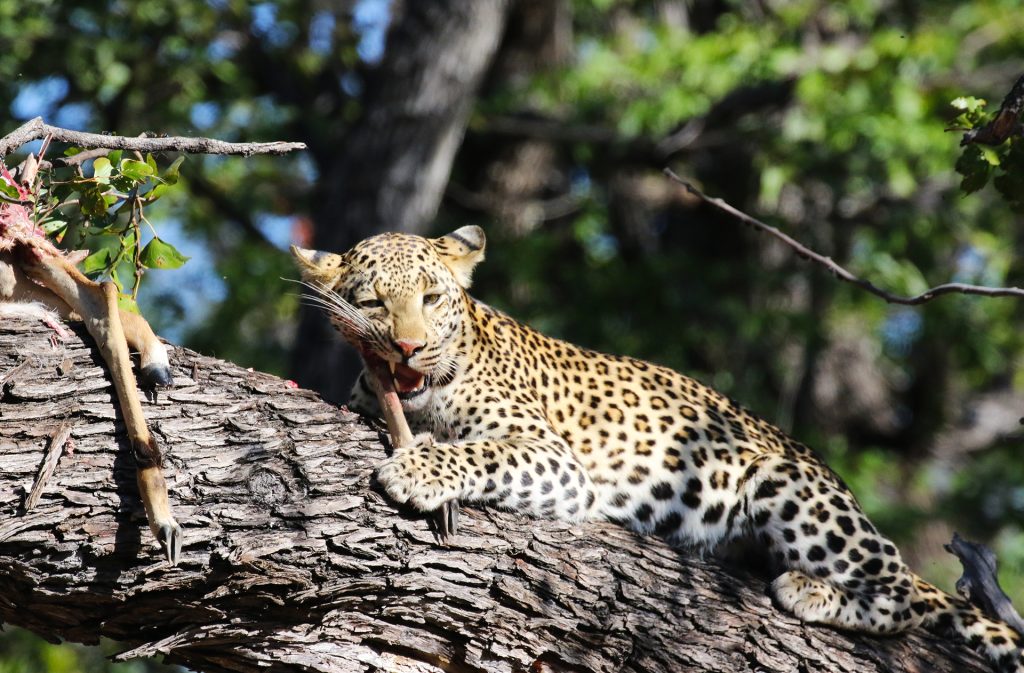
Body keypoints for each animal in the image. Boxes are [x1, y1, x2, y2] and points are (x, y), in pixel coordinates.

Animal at [292, 227, 1019, 671]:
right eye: (373, 303)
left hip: (788, 484)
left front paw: (418, 468)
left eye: (432, 296)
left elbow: (477, 451)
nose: (408, 348)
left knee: (905, 596)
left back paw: (810, 589)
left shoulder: (556, 459)